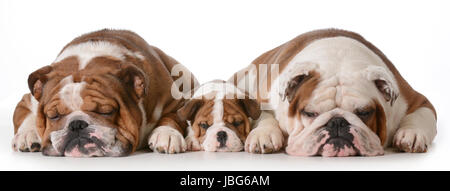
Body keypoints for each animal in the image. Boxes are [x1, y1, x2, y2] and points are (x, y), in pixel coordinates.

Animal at [10, 28, 197, 157]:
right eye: (53, 116)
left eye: (106, 111)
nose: (76, 124)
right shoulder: (29, 100)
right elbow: (26, 115)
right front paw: (27, 134)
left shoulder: (176, 101)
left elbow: (173, 117)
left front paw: (167, 134)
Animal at [232, 28, 436, 157]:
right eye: (309, 113)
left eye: (364, 112)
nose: (337, 121)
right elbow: (264, 116)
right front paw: (263, 134)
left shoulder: (417, 100)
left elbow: (421, 116)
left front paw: (411, 134)